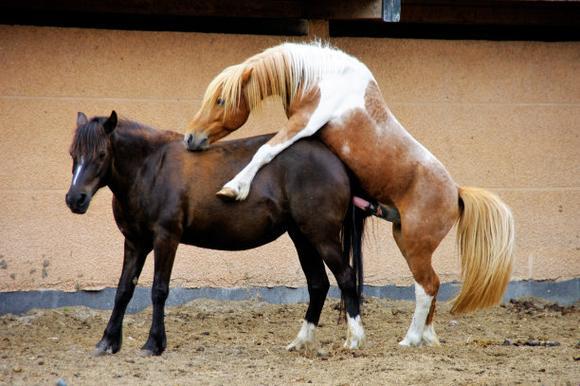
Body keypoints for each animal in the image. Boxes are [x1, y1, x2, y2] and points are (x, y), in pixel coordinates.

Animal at [65, 111, 370, 356]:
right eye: (72, 154)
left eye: (101, 154)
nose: (75, 199)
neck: (151, 167)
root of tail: (335, 160)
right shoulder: (135, 243)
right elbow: (123, 291)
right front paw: (107, 342)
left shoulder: (166, 239)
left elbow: (158, 290)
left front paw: (153, 344)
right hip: (302, 238)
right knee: (318, 284)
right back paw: (301, 341)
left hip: (321, 236)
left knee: (346, 278)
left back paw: (354, 340)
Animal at [184, 41, 516, 346]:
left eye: (221, 100)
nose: (190, 138)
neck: (324, 77)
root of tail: (456, 193)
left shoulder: (303, 123)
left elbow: (266, 150)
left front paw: (233, 188)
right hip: (405, 240)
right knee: (430, 285)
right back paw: (427, 337)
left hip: (416, 245)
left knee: (427, 287)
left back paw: (409, 339)